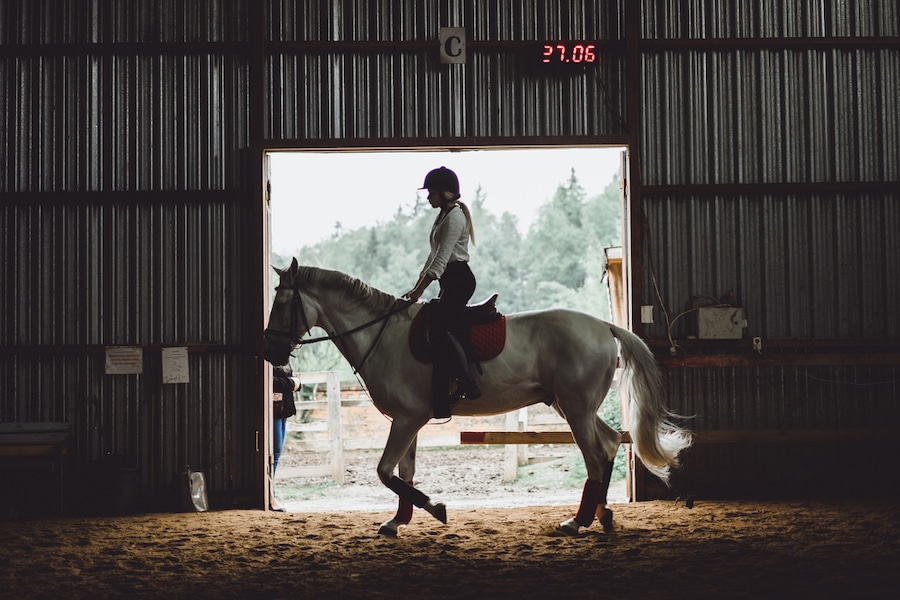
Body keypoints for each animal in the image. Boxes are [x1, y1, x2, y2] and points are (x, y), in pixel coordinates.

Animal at [264, 258, 692, 536]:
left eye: (282, 302)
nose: (271, 352)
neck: (382, 335)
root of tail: (603, 326)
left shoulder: (407, 419)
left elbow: (385, 471)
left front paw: (436, 509)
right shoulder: (409, 420)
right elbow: (404, 472)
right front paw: (398, 521)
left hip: (575, 408)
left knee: (595, 455)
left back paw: (578, 521)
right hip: (572, 406)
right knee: (609, 444)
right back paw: (602, 516)